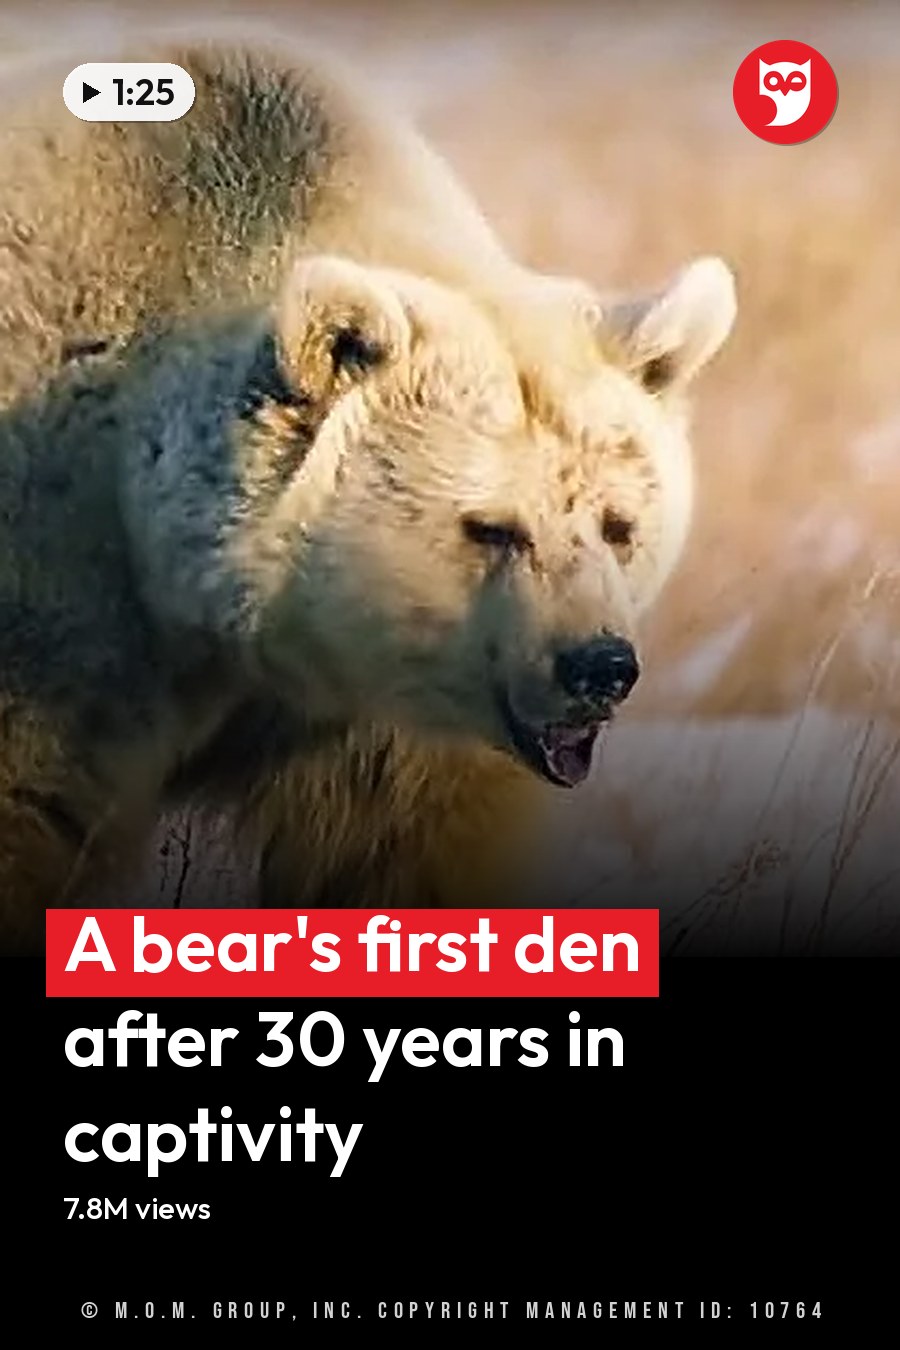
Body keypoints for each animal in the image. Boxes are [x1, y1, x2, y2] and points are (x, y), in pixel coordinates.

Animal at [0, 36, 736, 950]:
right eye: (490, 527)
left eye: (617, 523)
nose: (598, 667)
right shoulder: (60, 625)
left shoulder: (374, 721)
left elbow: (399, 851)